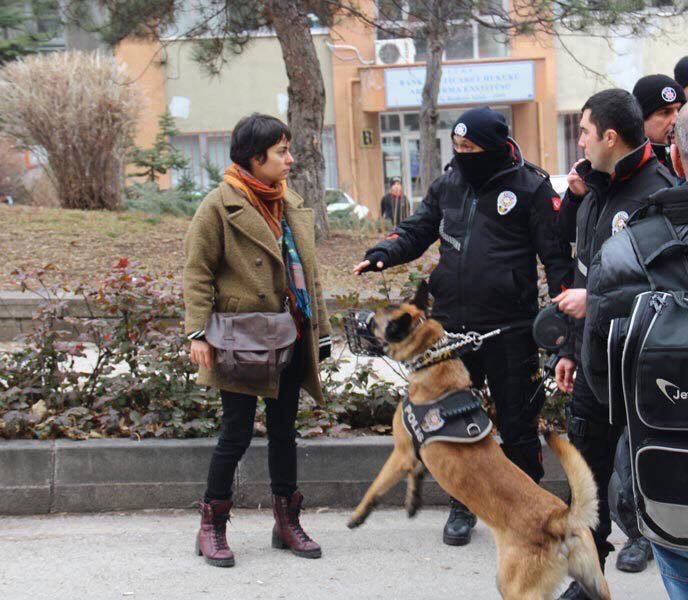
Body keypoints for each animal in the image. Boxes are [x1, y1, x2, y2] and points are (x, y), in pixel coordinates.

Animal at [347, 282, 611, 600]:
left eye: (373, 321)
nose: (354, 318)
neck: (434, 359)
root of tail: (558, 518)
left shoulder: (400, 452)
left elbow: (376, 486)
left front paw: (358, 516)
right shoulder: (413, 455)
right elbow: (415, 475)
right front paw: (412, 502)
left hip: (514, 588)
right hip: (595, 583)